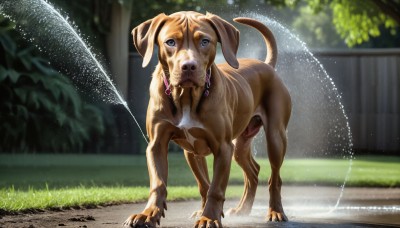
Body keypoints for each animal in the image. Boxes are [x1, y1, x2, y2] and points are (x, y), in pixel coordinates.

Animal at [123, 11, 292, 227]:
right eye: (170, 42)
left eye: (204, 41)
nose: (188, 66)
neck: (186, 97)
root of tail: (266, 65)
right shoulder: (159, 145)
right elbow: (169, 183)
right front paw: (149, 214)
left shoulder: (223, 147)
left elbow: (216, 188)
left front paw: (209, 217)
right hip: (237, 145)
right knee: (252, 172)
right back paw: (242, 209)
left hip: (275, 138)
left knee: (275, 178)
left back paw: (275, 211)